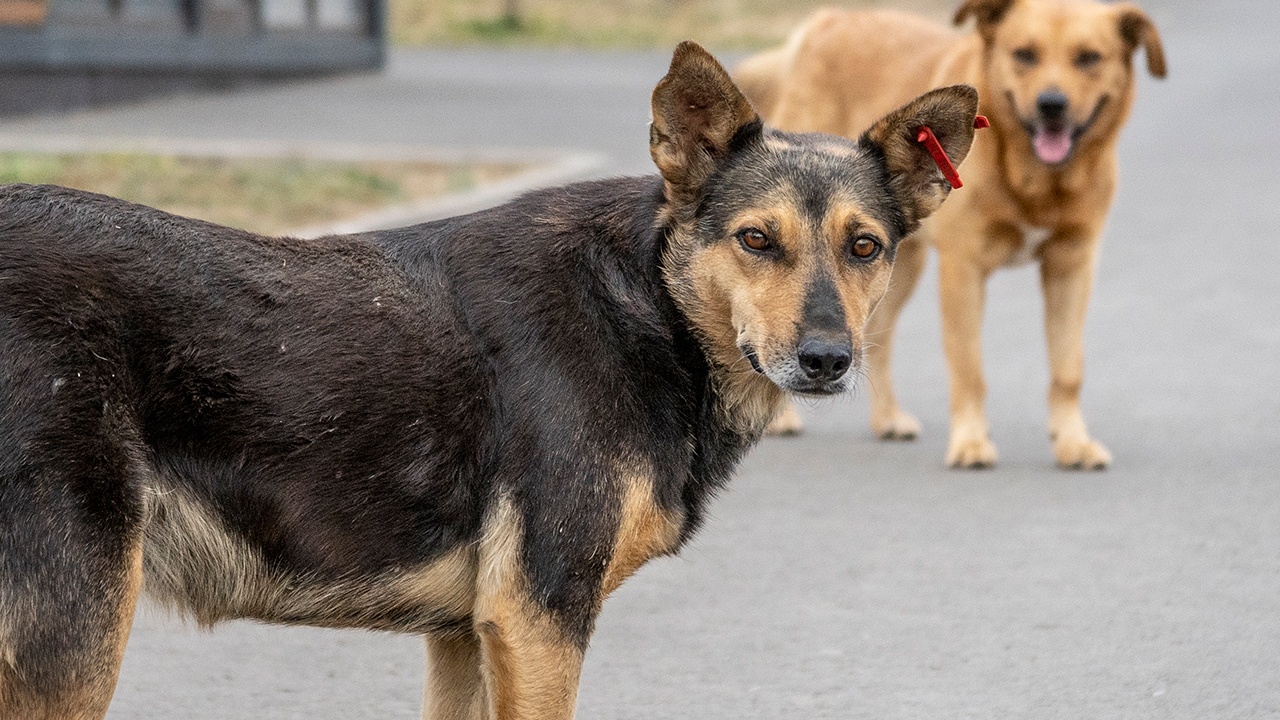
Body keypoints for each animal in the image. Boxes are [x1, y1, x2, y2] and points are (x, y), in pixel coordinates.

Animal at [2, 44, 977, 717]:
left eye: (865, 247)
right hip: (75, 635)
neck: (647, 307)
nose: (826, 359)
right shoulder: (538, 619)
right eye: (756, 240)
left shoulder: (466, 635)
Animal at [737, 0, 1167, 468]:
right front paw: (972, 442)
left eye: (1089, 58)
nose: (1052, 104)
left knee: (875, 336)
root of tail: (830, 19)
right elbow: (969, 369)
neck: (1035, 182)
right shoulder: (964, 269)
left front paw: (1073, 442)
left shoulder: (1072, 267)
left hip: (889, 266)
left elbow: (1068, 369)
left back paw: (888, 418)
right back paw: (784, 417)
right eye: (1024, 54)